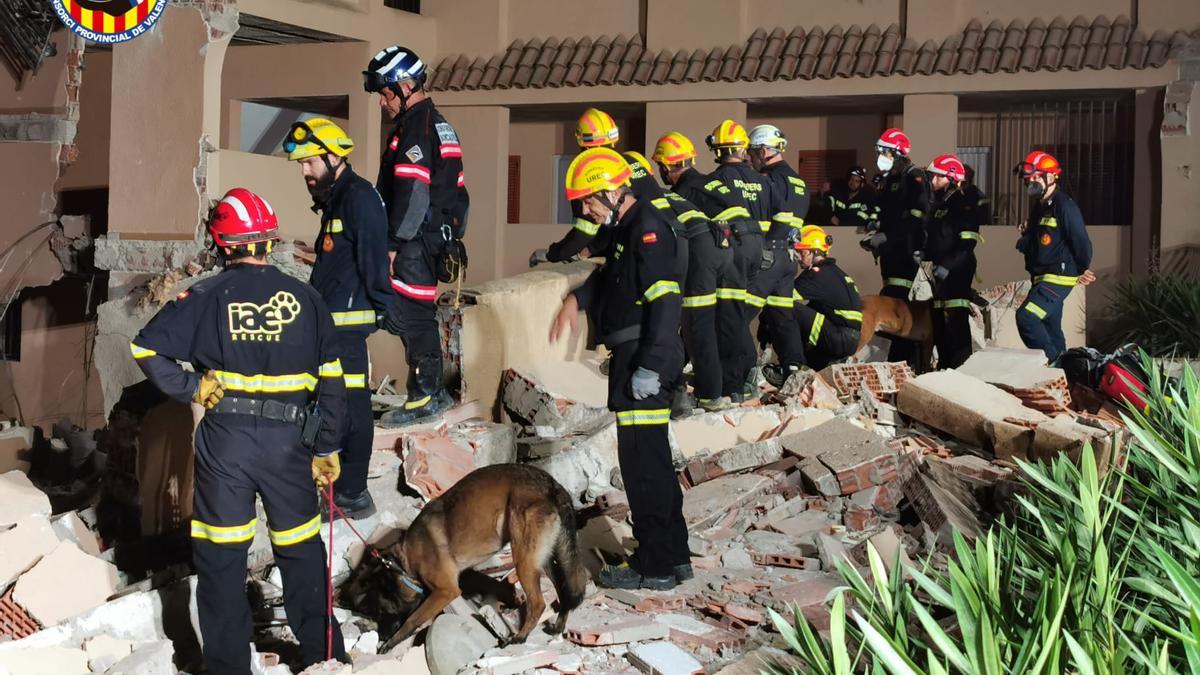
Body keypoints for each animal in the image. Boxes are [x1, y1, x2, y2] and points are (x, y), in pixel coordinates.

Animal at [345, 466, 588, 648]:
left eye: (380, 612)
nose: (382, 636)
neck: (403, 564)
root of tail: (551, 485)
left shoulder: (446, 591)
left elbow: (412, 618)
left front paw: (392, 642)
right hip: (545, 558)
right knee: (564, 592)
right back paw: (558, 627)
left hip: (524, 560)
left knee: (538, 603)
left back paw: (520, 637)